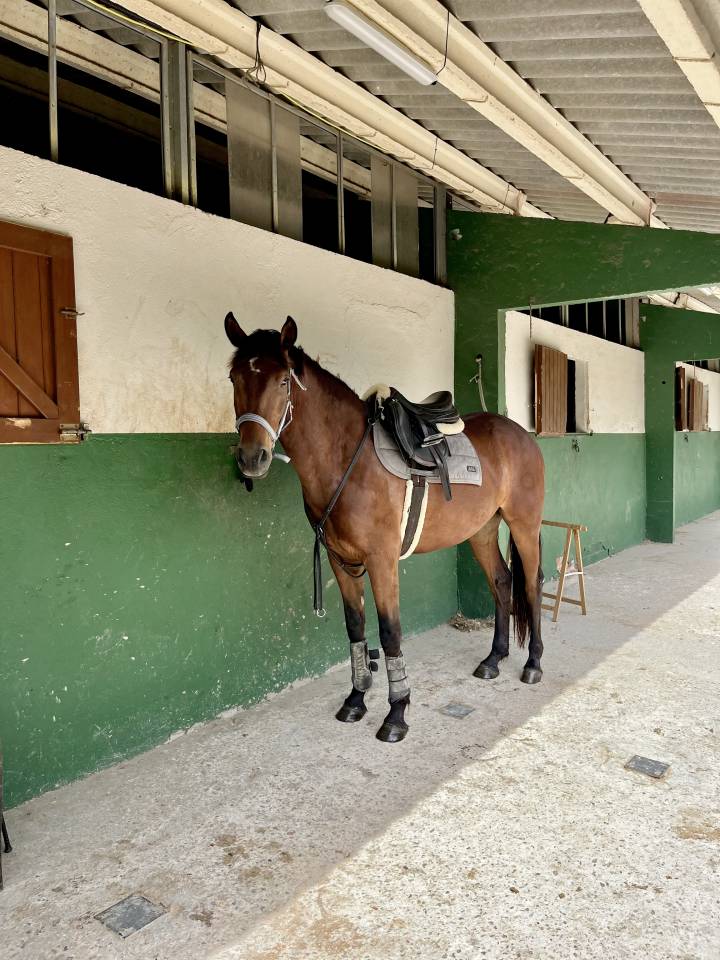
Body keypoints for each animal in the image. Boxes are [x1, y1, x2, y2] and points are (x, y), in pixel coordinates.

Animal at [225, 314, 545, 743]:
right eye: (234, 378)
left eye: (282, 381)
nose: (251, 457)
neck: (348, 459)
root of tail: (521, 433)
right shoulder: (341, 561)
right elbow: (355, 628)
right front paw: (356, 700)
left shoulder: (382, 561)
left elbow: (390, 632)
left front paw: (396, 713)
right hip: (481, 531)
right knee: (502, 580)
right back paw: (494, 658)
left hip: (524, 525)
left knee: (530, 583)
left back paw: (533, 664)